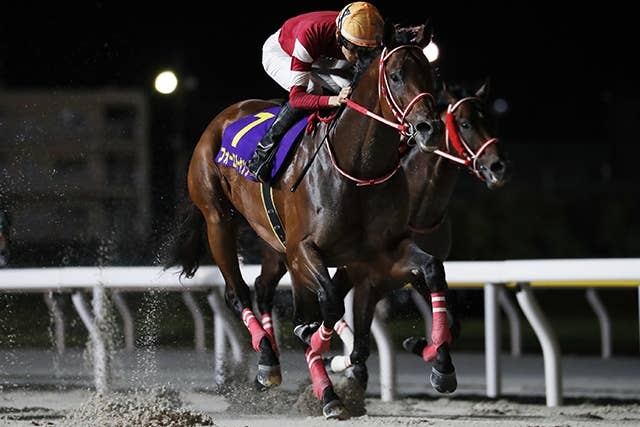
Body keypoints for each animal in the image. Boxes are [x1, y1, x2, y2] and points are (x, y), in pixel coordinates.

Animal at [165, 21, 450, 419]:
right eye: (395, 76)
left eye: (431, 74)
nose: (430, 129)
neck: (357, 169)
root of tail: (221, 119)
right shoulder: (304, 250)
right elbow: (327, 304)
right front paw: (323, 358)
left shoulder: (379, 254)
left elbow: (431, 269)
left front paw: (439, 364)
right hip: (218, 220)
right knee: (238, 293)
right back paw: (271, 362)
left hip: (274, 240)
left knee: (266, 289)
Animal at [252, 79, 511, 392]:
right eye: (465, 123)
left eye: (491, 120)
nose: (498, 166)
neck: (419, 206)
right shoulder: (366, 268)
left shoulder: (406, 268)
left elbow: (451, 321)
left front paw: (424, 350)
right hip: (279, 252)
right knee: (263, 287)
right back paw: (271, 361)